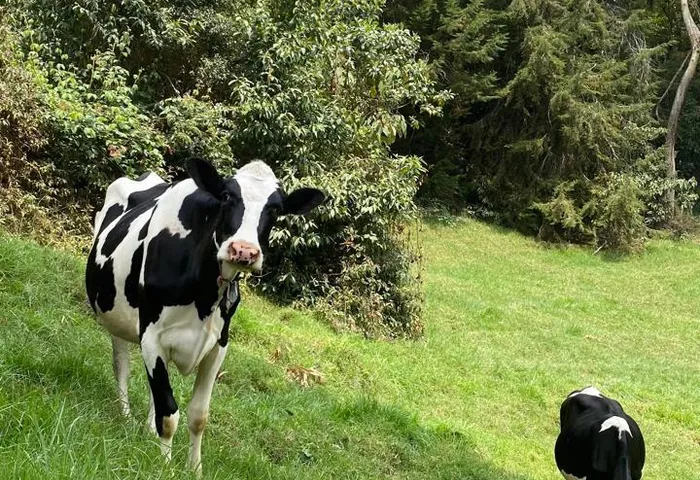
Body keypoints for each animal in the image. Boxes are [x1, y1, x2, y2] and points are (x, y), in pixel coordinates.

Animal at [85, 158, 324, 474]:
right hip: (115, 314)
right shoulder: (151, 336)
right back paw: (125, 415)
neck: (204, 293)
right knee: (122, 366)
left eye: (275, 210)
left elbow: (198, 415)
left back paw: (148, 429)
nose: (244, 250)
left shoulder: (218, 345)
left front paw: (194, 469)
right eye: (226, 197)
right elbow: (169, 411)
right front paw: (165, 465)